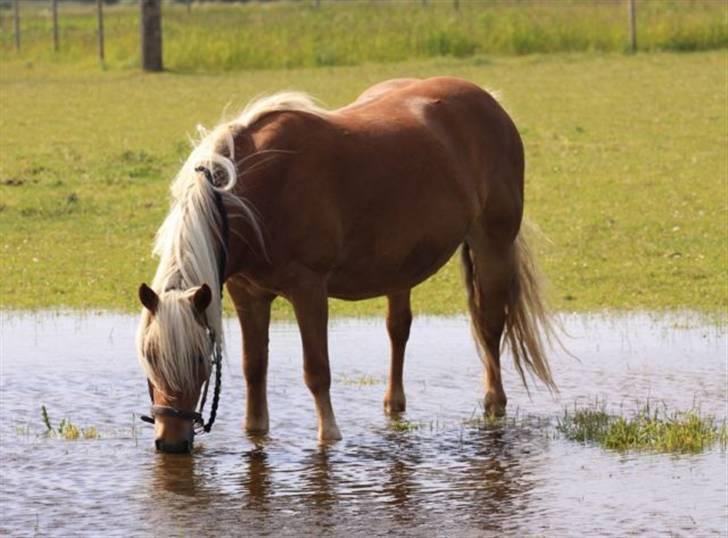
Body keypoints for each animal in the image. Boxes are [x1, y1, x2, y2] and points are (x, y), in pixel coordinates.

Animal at [135, 76, 556, 452]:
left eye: (197, 357)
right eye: (150, 357)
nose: (170, 443)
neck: (257, 194)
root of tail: (489, 101)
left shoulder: (309, 289)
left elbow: (316, 370)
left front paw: (330, 435)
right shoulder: (247, 294)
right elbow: (254, 368)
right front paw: (255, 433)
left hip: (492, 245)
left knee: (490, 325)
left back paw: (494, 403)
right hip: (400, 267)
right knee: (398, 329)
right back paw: (394, 405)